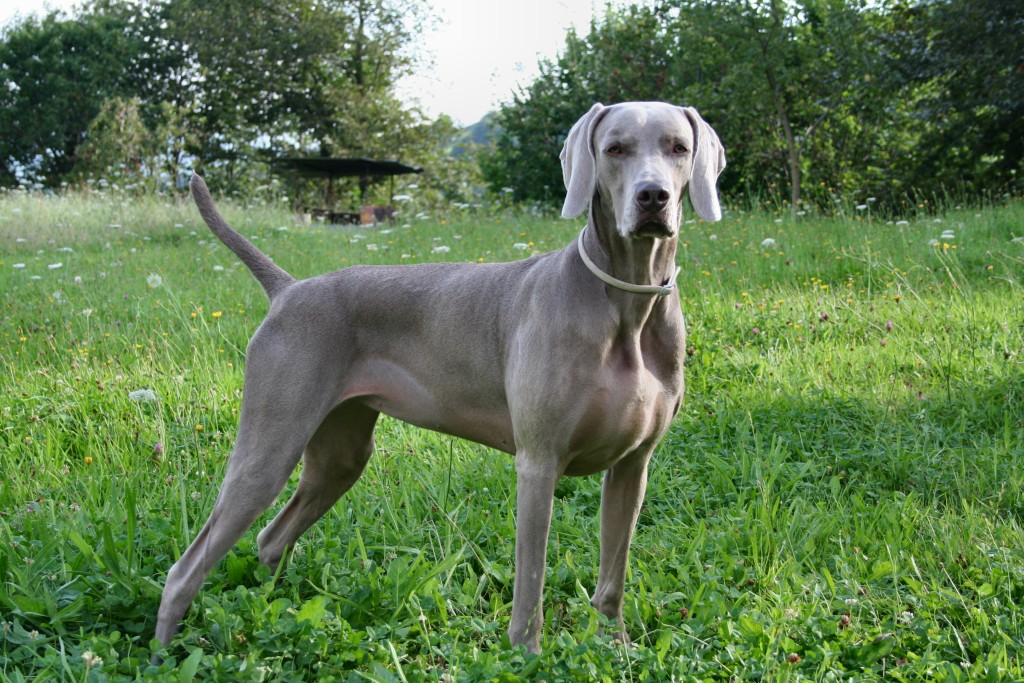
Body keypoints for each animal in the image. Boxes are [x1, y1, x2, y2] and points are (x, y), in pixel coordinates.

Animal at [155, 100, 724, 651]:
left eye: (678, 147)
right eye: (614, 149)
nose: (653, 197)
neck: (628, 303)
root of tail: (288, 289)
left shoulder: (633, 465)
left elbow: (614, 573)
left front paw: (617, 645)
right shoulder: (539, 462)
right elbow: (531, 578)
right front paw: (526, 656)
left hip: (340, 452)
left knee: (272, 537)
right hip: (270, 444)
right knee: (185, 569)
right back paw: (164, 650)